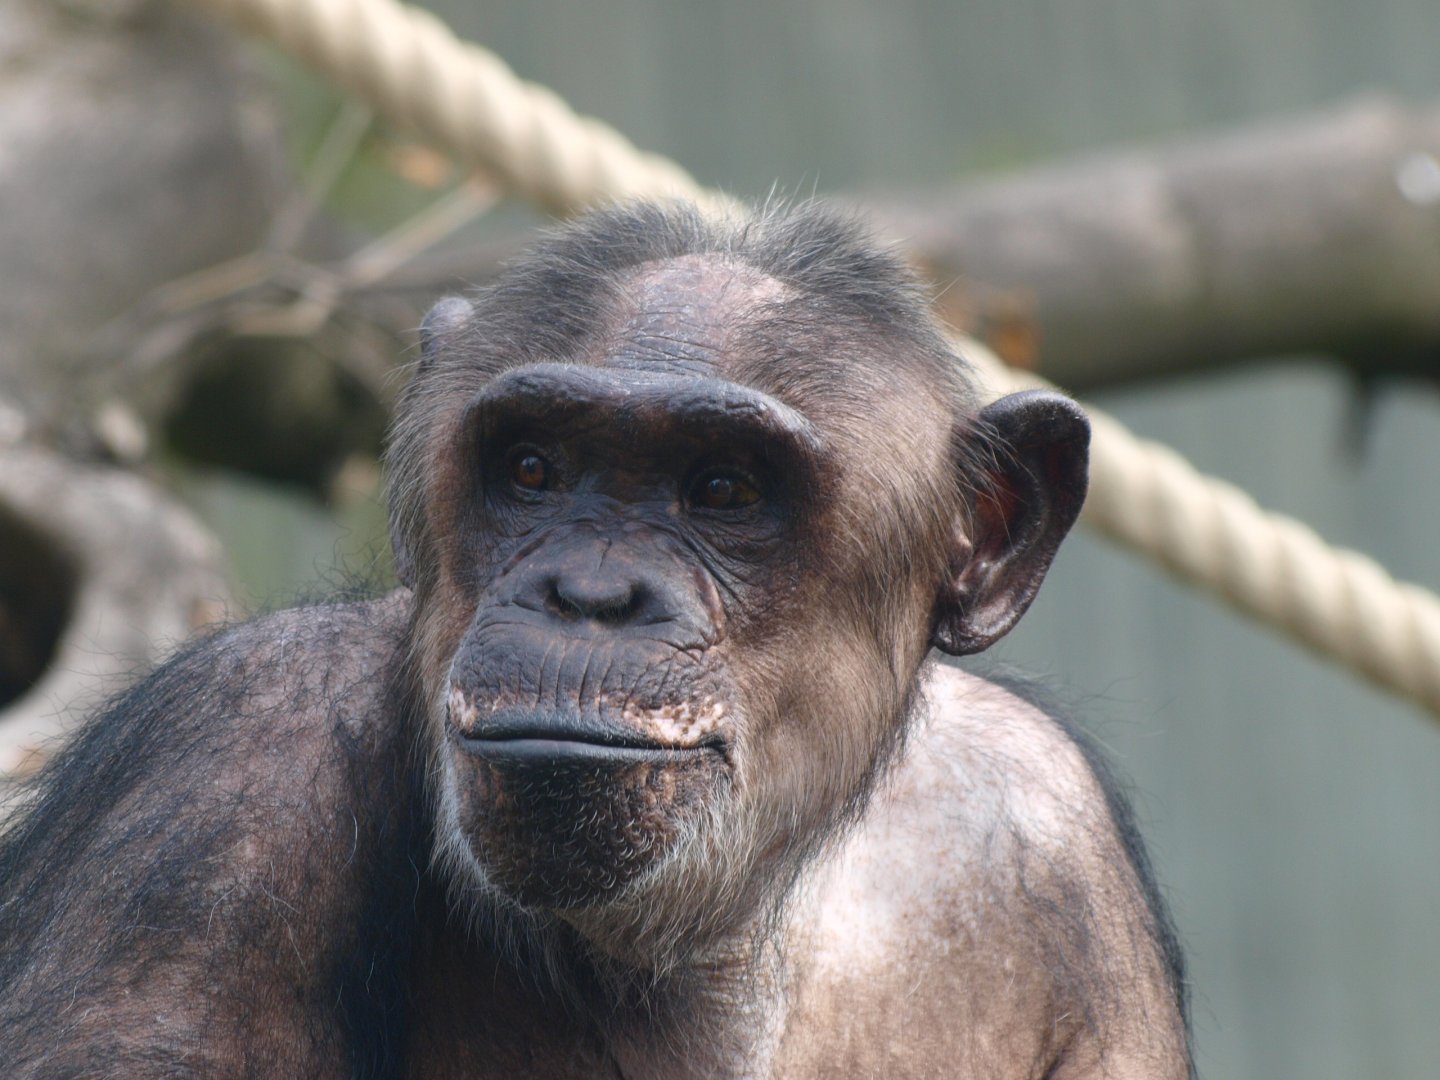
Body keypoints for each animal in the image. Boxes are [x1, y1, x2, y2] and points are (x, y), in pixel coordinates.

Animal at [0, 200, 1189, 1078]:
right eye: (533, 468)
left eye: (724, 490)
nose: (590, 593)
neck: (732, 929)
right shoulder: (220, 775)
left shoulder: (1055, 826)